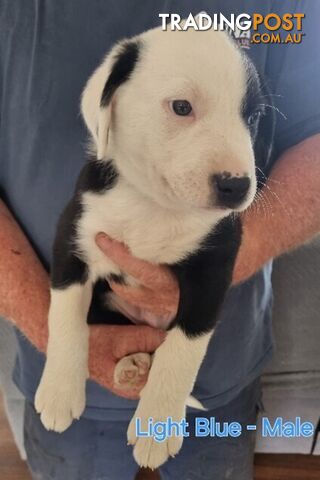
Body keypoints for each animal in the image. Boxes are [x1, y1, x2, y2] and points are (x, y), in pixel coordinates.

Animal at [36, 25, 274, 468]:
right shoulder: (73, 238)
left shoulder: (213, 268)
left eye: (251, 118)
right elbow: (65, 317)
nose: (237, 186)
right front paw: (59, 390)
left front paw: (158, 423)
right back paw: (130, 366)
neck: (155, 205)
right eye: (181, 107)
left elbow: (183, 348)